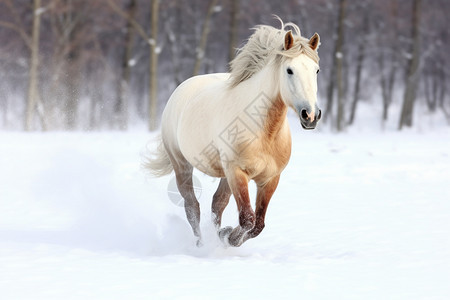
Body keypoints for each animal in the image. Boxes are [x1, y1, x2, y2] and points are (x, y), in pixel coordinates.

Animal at [147, 19, 320, 248]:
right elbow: (247, 219)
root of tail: (180, 89)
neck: (265, 134)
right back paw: (201, 245)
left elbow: (258, 224)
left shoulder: (269, 179)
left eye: (316, 71)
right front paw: (228, 236)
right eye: (289, 70)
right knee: (192, 207)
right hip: (182, 165)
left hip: (224, 175)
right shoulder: (237, 172)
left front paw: (225, 236)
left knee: (217, 203)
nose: (311, 115)